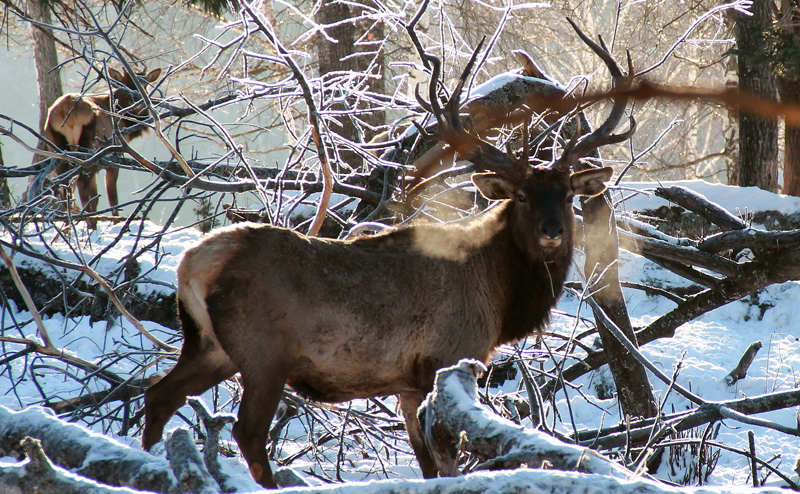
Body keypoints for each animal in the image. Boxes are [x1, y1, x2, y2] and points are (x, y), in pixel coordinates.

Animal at [40, 67, 161, 224]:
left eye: (145, 84)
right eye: (124, 83)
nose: (136, 100)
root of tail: (67, 113)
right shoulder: (115, 157)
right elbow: (112, 198)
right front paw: (117, 221)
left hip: (59, 150)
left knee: (65, 187)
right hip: (91, 151)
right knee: (83, 189)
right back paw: (89, 221)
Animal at [141, 22, 636, 486]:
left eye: (567, 194)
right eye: (522, 197)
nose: (553, 231)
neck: (500, 300)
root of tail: (192, 264)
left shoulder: (408, 381)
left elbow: (427, 463)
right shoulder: (450, 356)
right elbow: (446, 460)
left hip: (208, 345)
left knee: (159, 394)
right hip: (262, 352)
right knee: (247, 432)